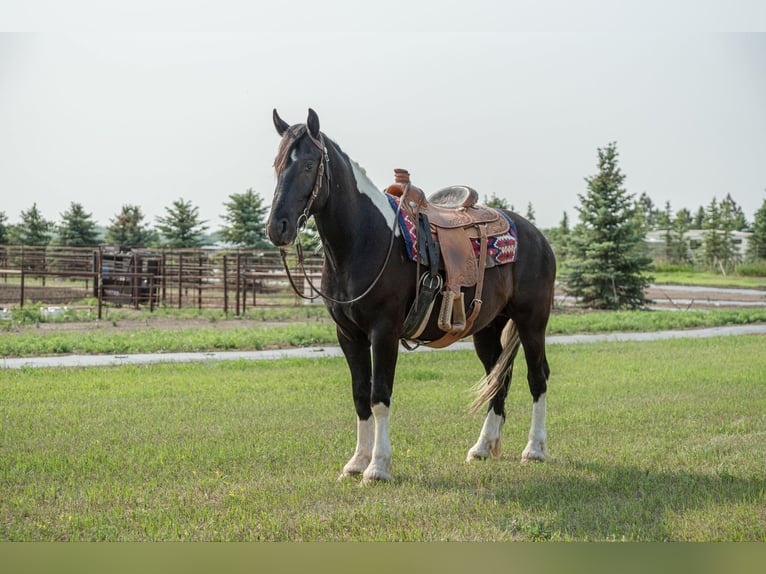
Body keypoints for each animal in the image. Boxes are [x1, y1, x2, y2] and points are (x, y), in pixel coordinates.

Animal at [268, 109, 556, 486]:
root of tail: (537, 236)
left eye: (308, 164)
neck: (364, 239)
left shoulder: (384, 331)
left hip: (531, 321)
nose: (278, 227)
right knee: (498, 379)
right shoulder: (348, 335)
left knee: (537, 377)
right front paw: (356, 462)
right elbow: (360, 395)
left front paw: (378, 467)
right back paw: (482, 447)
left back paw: (534, 449)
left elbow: (379, 396)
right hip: (488, 328)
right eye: (276, 164)